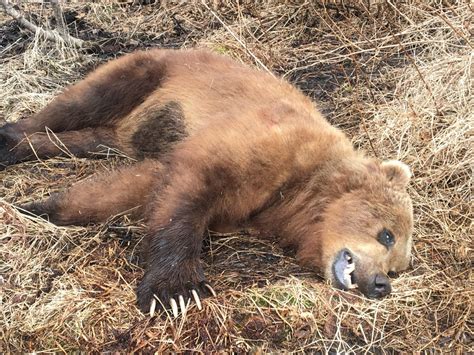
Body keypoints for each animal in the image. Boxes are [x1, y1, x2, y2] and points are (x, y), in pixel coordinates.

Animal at [0, 48, 412, 318]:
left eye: (397, 267)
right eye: (387, 234)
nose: (381, 284)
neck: (297, 196)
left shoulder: (252, 207)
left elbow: (134, 186)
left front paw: (40, 208)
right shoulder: (266, 144)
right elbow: (192, 185)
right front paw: (175, 291)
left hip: (125, 132)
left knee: (89, 138)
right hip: (154, 75)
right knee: (79, 104)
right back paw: (10, 137)